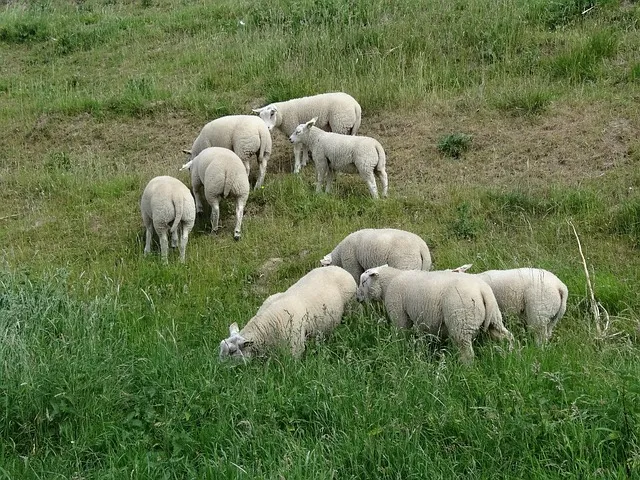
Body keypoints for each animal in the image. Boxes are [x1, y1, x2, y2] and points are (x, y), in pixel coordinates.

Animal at [356, 265, 514, 363]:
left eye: (364, 282)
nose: (358, 299)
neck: (389, 282)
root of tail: (483, 291)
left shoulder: (399, 313)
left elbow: (401, 333)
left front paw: (399, 348)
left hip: (461, 320)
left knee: (466, 352)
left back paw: (464, 369)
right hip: (494, 317)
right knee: (505, 336)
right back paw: (511, 353)